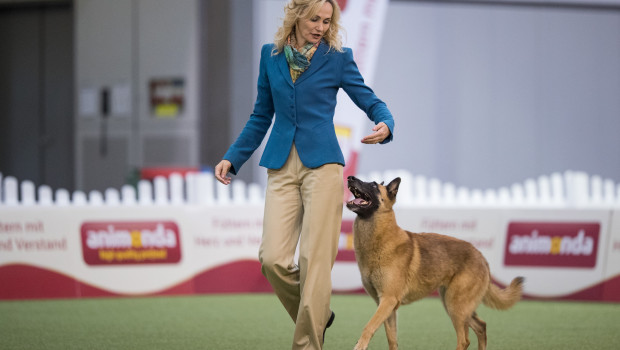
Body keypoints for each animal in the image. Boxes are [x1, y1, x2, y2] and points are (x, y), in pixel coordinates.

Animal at [346, 176, 524, 350]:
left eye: (373, 185)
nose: (350, 178)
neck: (379, 238)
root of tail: (481, 257)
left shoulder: (388, 300)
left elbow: (368, 327)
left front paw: (359, 346)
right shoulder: (386, 306)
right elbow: (392, 340)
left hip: (455, 306)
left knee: (464, 340)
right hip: (455, 304)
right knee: (481, 326)